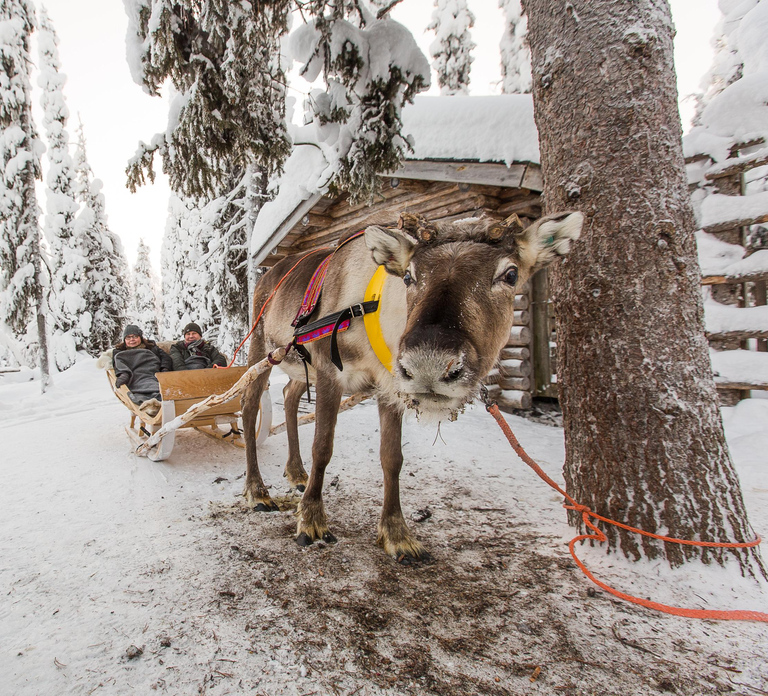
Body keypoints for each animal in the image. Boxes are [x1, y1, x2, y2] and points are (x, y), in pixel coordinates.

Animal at [240, 210, 583, 563]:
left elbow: (393, 458)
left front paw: (397, 534)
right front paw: (311, 520)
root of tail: (267, 275)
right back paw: (257, 491)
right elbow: (322, 448)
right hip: (262, 349)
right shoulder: (328, 371)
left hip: (298, 364)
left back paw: (296, 473)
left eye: (511, 274)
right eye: (408, 276)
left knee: (289, 396)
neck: (376, 312)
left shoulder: (389, 386)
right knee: (249, 406)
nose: (429, 366)